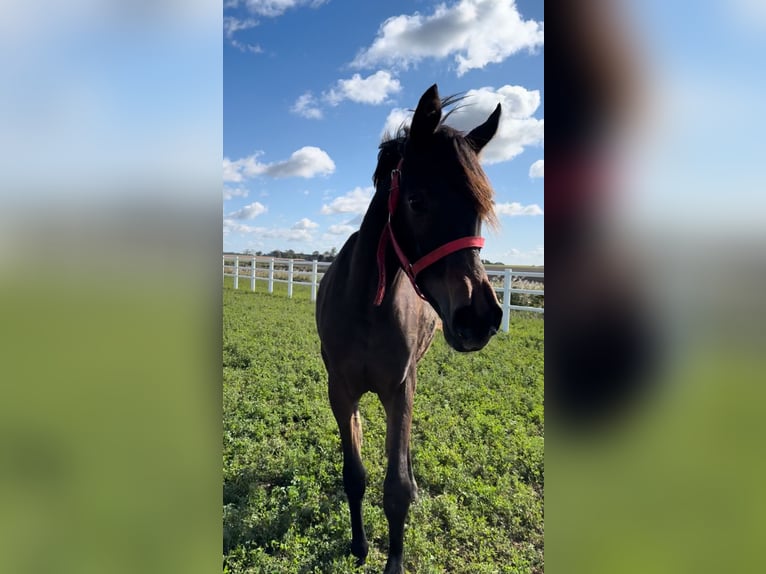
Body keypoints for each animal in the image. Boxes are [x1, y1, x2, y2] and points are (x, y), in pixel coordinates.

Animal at [316, 85, 504, 574]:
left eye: (480, 208)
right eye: (417, 200)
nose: (479, 316)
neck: (365, 304)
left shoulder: (400, 387)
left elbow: (396, 487)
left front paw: (394, 559)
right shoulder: (340, 390)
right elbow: (355, 473)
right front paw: (360, 545)